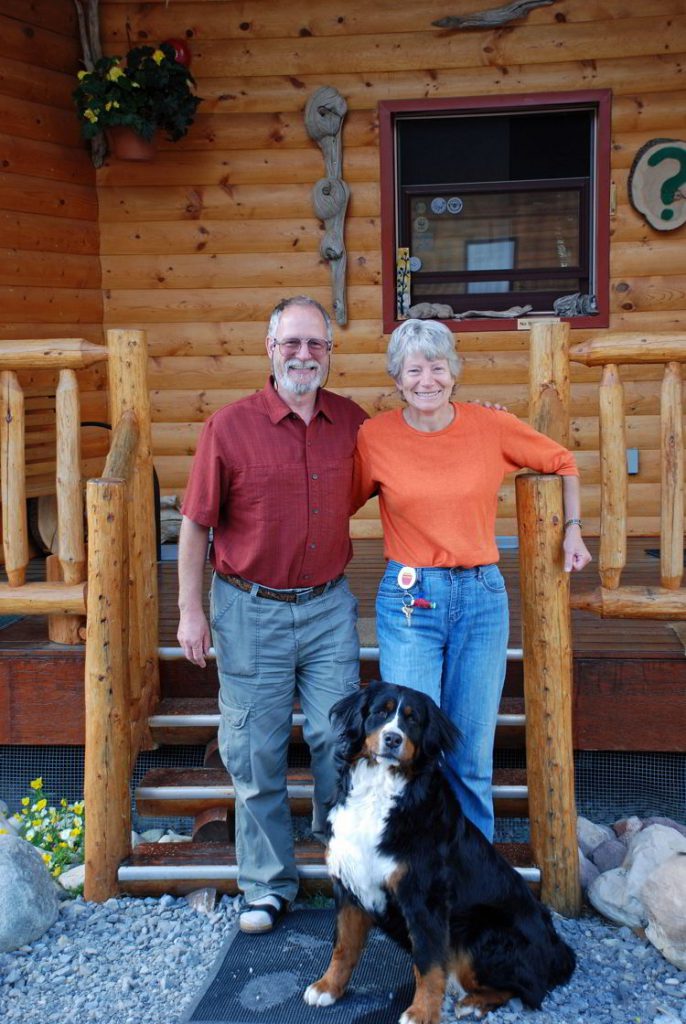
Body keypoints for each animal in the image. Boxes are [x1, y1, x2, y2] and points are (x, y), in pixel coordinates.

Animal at [303, 679, 577, 1024]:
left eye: (413, 720)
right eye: (381, 712)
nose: (393, 739)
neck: (380, 792)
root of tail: (558, 950)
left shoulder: (424, 898)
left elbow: (429, 964)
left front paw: (421, 1012)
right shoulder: (350, 884)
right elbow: (344, 946)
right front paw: (328, 987)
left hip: (480, 931)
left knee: (530, 989)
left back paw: (474, 1003)